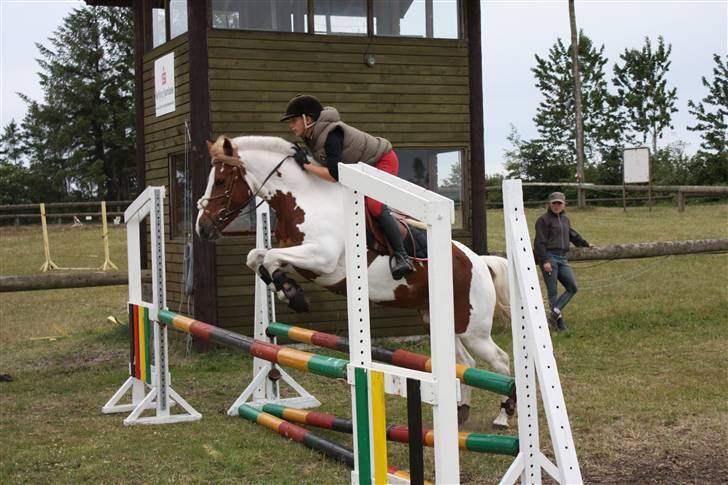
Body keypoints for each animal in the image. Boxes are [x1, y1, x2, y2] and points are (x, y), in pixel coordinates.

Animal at [193, 134, 512, 426]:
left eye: (220, 181)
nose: (202, 228)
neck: (304, 200)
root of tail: (479, 262)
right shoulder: (300, 259)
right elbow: (257, 257)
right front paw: (285, 288)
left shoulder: (321, 259)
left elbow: (270, 258)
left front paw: (293, 295)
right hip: (439, 322)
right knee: (466, 363)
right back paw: (461, 411)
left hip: (474, 329)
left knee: (499, 360)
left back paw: (504, 414)